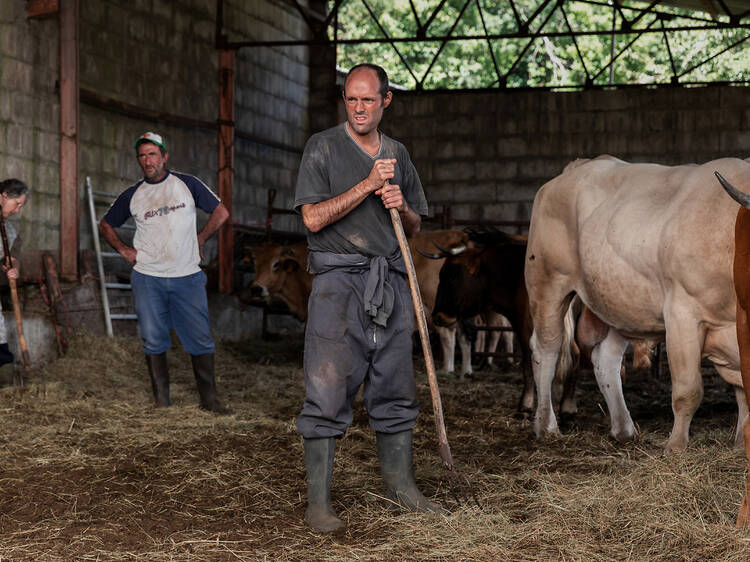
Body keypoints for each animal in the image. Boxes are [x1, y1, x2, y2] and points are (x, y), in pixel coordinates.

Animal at [524, 154, 750, 450]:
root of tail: (581, 165)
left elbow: (743, 389)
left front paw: (741, 445)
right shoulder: (682, 314)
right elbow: (688, 390)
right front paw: (675, 447)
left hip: (616, 305)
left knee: (605, 359)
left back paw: (623, 429)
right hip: (547, 285)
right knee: (546, 351)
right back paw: (546, 426)